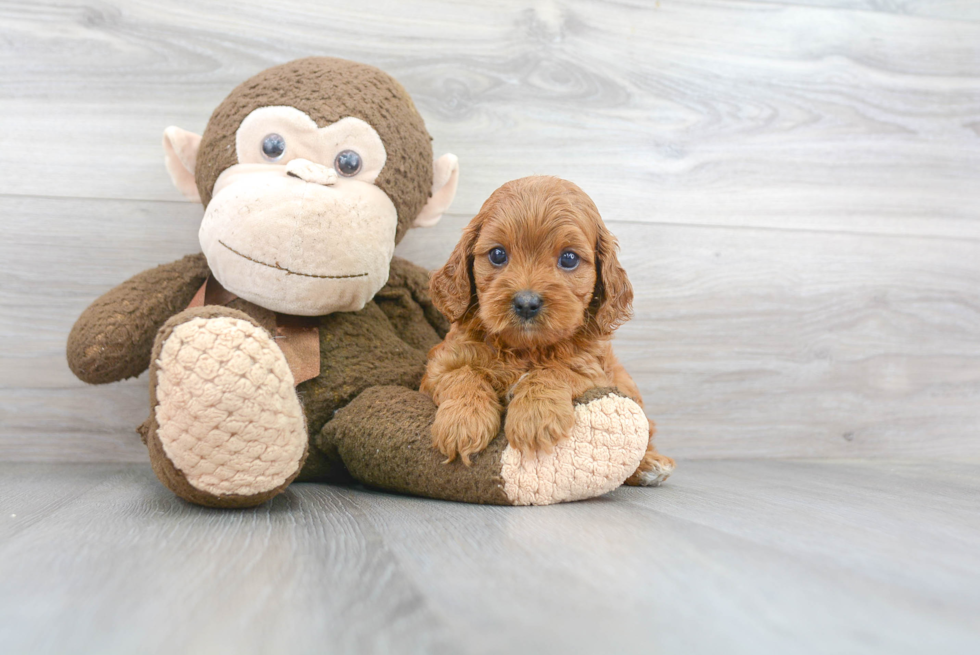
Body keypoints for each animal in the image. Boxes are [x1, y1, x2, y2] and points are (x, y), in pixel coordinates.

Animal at [422, 176, 672, 486]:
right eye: (497, 254)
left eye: (569, 258)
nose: (526, 303)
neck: (524, 349)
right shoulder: (439, 365)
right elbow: (461, 374)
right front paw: (462, 421)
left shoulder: (591, 371)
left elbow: (555, 370)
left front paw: (534, 416)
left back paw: (650, 465)